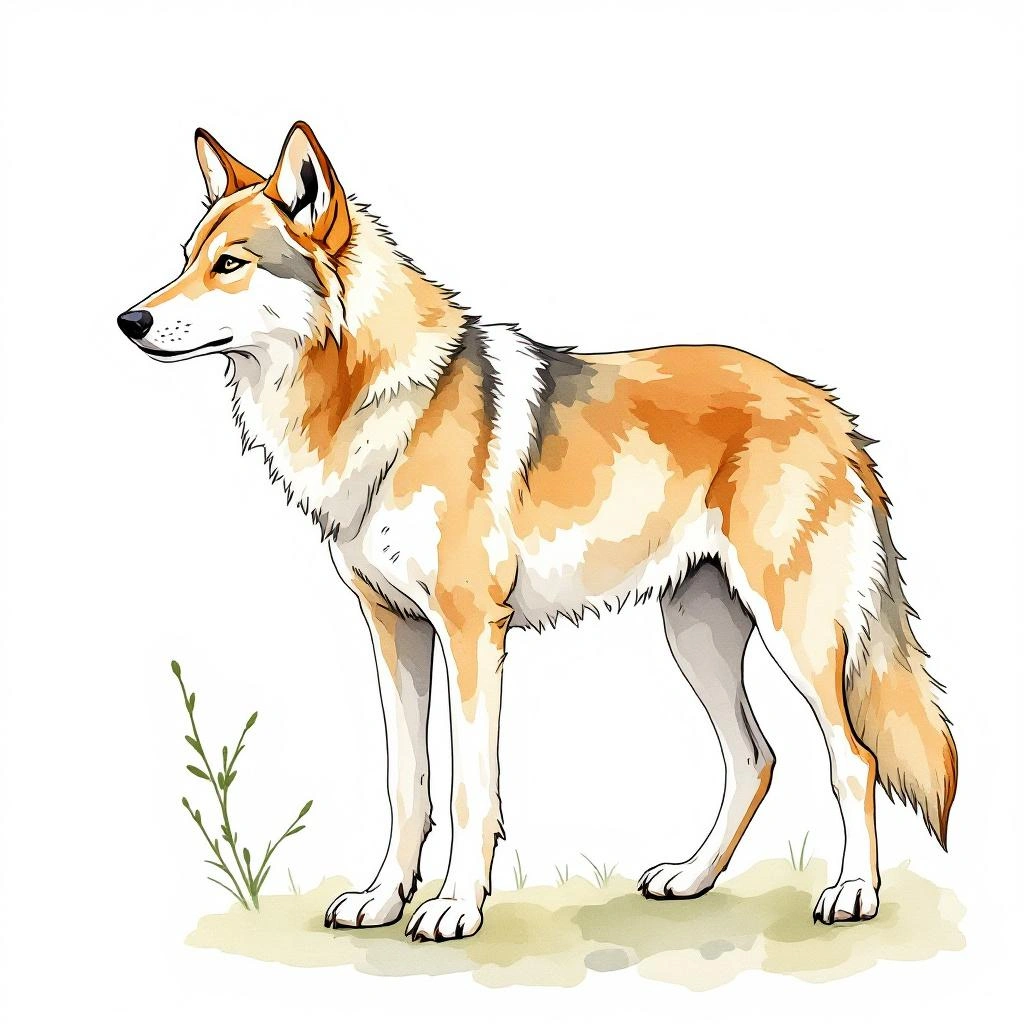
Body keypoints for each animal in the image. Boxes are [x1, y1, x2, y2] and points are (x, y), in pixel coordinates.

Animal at [118, 123, 957, 941]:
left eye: (229, 264)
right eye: (186, 259)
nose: (130, 320)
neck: (380, 402)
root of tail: (831, 409)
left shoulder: (471, 634)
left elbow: (468, 788)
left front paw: (454, 908)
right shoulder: (393, 629)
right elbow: (406, 784)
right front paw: (383, 900)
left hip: (796, 637)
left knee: (855, 760)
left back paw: (854, 893)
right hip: (695, 633)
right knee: (755, 758)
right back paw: (690, 878)